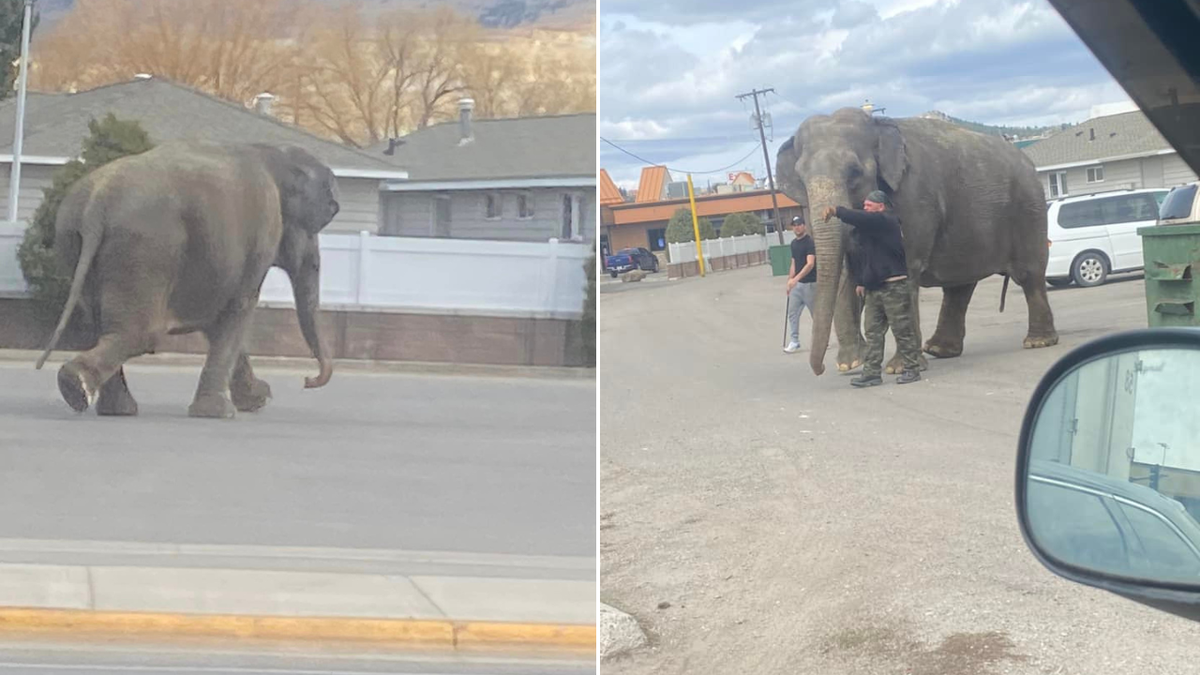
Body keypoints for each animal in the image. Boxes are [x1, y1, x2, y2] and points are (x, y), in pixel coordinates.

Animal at [37, 140, 338, 415]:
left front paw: (256, 399)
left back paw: (113, 407)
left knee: (102, 327)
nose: (307, 380)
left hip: (75, 243)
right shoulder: (262, 233)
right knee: (139, 333)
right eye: (314, 227)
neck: (272, 152)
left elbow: (216, 320)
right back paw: (77, 387)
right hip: (148, 247)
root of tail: (98, 202)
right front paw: (221, 412)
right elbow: (238, 308)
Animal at [772, 107, 1056, 374]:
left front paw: (898, 368)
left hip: (1029, 208)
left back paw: (1037, 342)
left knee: (1028, 274)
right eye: (801, 178)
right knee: (960, 285)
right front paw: (849, 364)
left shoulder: (913, 196)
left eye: (854, 172)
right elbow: (845, 273)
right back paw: (939, 350)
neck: (876, 125)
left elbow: (905, 266)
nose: (819, 369)